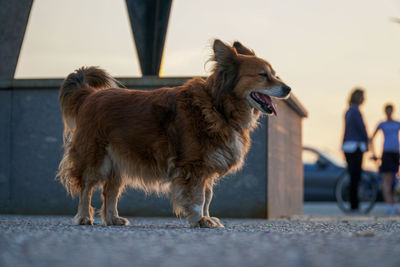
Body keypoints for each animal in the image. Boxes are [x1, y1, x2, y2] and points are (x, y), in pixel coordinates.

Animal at [56, 39, 290, 228]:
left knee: (110, 190)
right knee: (86, 187)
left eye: (273, 74)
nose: (288, 89)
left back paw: (113, 218)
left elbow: (207, 196)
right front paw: (199, 220)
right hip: (95, 157)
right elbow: (197, 197)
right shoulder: (193, 165)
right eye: (263, 75)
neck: (219, 106)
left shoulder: (207, 164)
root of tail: (89, 95)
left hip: (119, 160)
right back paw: (84, 217)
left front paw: (207, 217)